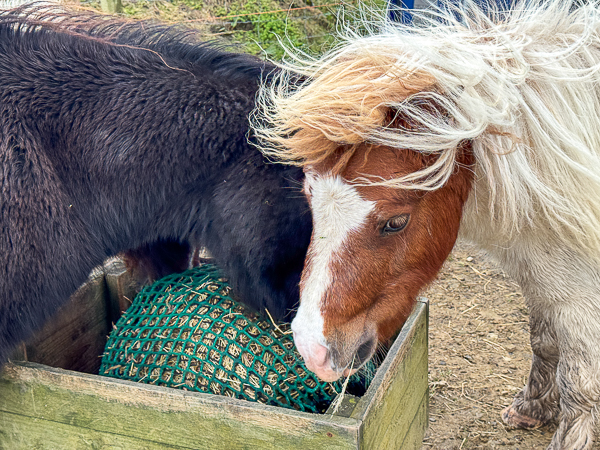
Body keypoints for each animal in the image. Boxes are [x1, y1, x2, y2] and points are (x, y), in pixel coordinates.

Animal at [252, 0, 600, 448]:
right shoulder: (544, 271)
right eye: (310, 199)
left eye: (396, 222)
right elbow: (544, 340)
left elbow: (580, 379)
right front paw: (533, 409)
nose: (314, 351)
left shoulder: (575, 289)